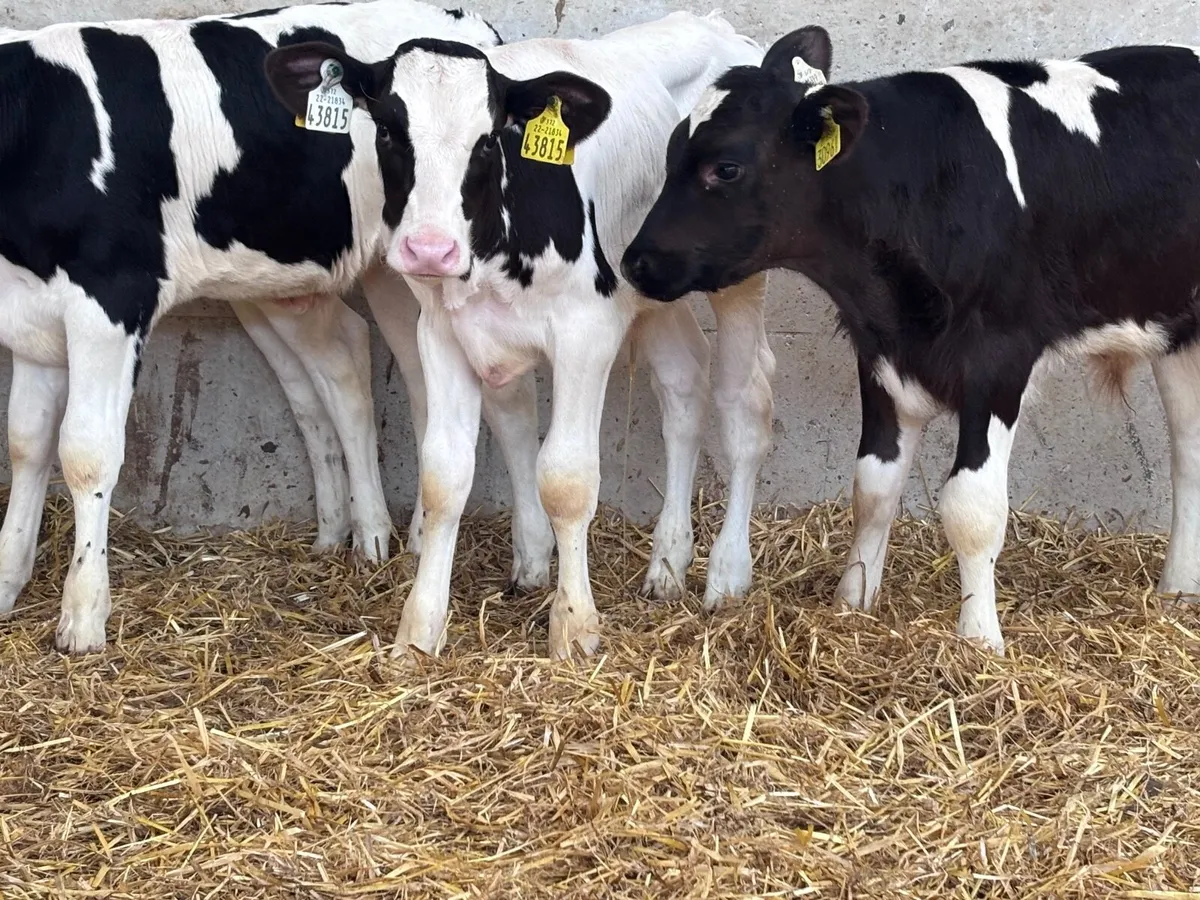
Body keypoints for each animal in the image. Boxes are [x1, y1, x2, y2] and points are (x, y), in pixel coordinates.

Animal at [0, 0, 553, 654]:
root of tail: (472, 26)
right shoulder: (30, 315)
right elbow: (26, 442)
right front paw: (7, 579)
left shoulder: (111, 300)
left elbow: (85, 451)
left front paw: (83, 616)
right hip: (376, 275)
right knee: (374, 373)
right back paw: (379, 534)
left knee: (505, 399)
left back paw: (528, 557)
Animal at [264, 11, 777, 661]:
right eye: (386, 130)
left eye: (488, 140)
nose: (429, 249)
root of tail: (710, 21)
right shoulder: (443, 333)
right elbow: (444, 476)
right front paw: (419, 630)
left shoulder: (587, 332)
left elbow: (566, 479)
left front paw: (575, 627)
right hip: (655, 290)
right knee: (683, 382)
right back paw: (667, 562)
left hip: (739, 277)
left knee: (745, 400)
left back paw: (728, 574)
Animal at [621, 25, 1200, 654]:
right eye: (670, 154)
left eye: (725, 169)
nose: (634, 262)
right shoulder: (880, 353)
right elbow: (873, 486)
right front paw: (853, 603)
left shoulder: (999, 358)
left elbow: (972, 505)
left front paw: (979, 639)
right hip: (1180, 335)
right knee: (1189, 451)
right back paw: (1178, 590)